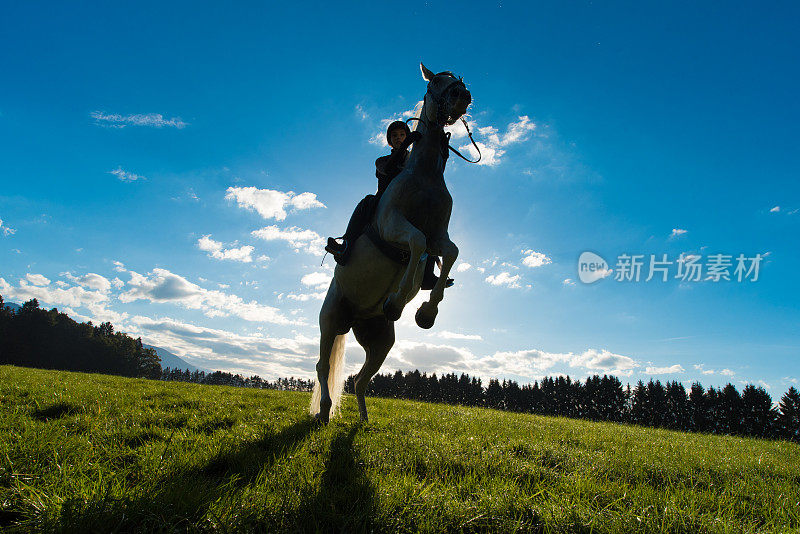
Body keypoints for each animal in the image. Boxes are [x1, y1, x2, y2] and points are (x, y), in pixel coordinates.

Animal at [310, 63, 476, 422]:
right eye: (436, 82)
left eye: (458, 80)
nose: (463, 95)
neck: (424, 175)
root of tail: (353, 318)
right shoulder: (393, 227)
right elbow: (415, 241)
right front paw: (399, 301)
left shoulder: (439, 237)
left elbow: (449, 253)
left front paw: (426, 312)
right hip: (329, 320)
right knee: (322, 365)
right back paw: (325, 411)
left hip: (380, 340)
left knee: (359, 380)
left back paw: (363, 420)